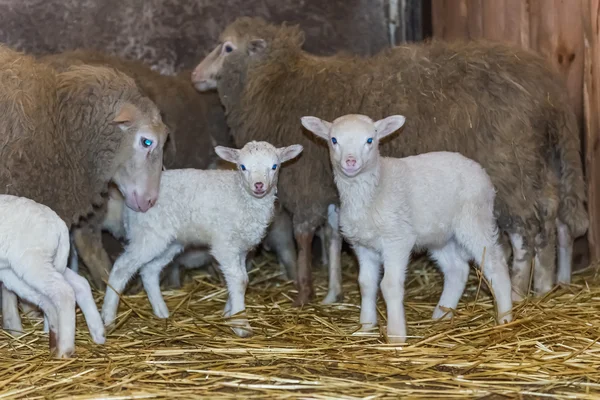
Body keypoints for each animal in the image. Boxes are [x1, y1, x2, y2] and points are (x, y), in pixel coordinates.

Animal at [0, 195, 105, 358]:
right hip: (19, 269)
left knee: (63, 292)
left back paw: (64, 350)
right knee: (73, 287)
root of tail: (59, 223)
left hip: (33, 261)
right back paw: (94, 334)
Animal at [101, 141, 304, 338]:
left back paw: (162, 312)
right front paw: (240, 324)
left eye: (274, 166)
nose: (259, 185)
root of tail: (129, 204)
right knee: (121, 268)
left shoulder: (240, 247)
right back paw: (108, 318)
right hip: (147, 234)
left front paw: (229, 313)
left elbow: (243, 279)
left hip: (169, 242)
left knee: (149, 270)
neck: (240, 195)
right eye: (243, 167)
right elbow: (239, 280)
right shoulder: (225, 244)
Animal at [192, 17, 584, 306]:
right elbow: (333, 237)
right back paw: (545, 284)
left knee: (523, 231)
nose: (195, 76)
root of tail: (549, 93)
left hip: (508, 169)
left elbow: (304, 237)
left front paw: (304, 294)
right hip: (537, 163)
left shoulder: (306, 185)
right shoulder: (331, 187)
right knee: (548, 218)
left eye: (227, 47)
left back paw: (517, 291)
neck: (275, 83)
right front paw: (333, 292)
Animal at [302, 113, 512, 344]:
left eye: (369, 140)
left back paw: (505, 317)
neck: (374, 189)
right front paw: (365, 326)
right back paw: (441, 314)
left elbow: (389, 285)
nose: (350, 161)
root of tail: (478, 169)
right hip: (439, 235)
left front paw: (395, 335)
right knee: (457, 270)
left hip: (474, 219)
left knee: (496, 264)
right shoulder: (363, 245)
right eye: (334, 140)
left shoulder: (396, 239)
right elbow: (365, 284)